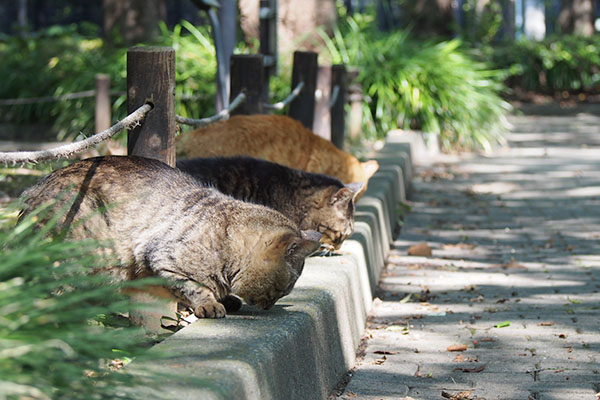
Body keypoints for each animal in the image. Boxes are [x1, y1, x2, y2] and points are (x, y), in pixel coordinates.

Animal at [18, 156, 322, 318]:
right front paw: (211, 303)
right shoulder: (161, 257)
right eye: (283, 289)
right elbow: (194, 287)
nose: (270, 306)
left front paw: (226, 299)